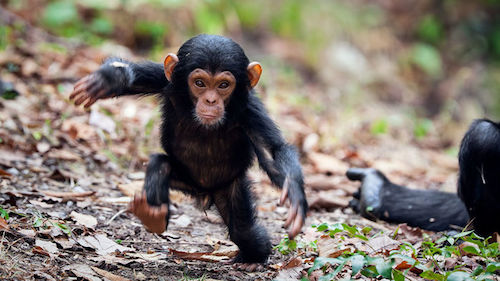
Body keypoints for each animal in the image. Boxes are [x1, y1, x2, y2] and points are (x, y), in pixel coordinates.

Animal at [69, 35, 308, 266]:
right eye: (199, 83)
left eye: (223, 85)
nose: (210, 100)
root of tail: (203, 193)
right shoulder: (168, 81)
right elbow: (137, 79)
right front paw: (108, 79)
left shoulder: (250, 111)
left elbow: (273, 151)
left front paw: (295, 195)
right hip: (183, 180)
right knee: (161, 164)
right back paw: (153, 215)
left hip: (229, 187)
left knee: (245, 232)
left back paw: (252, 259)